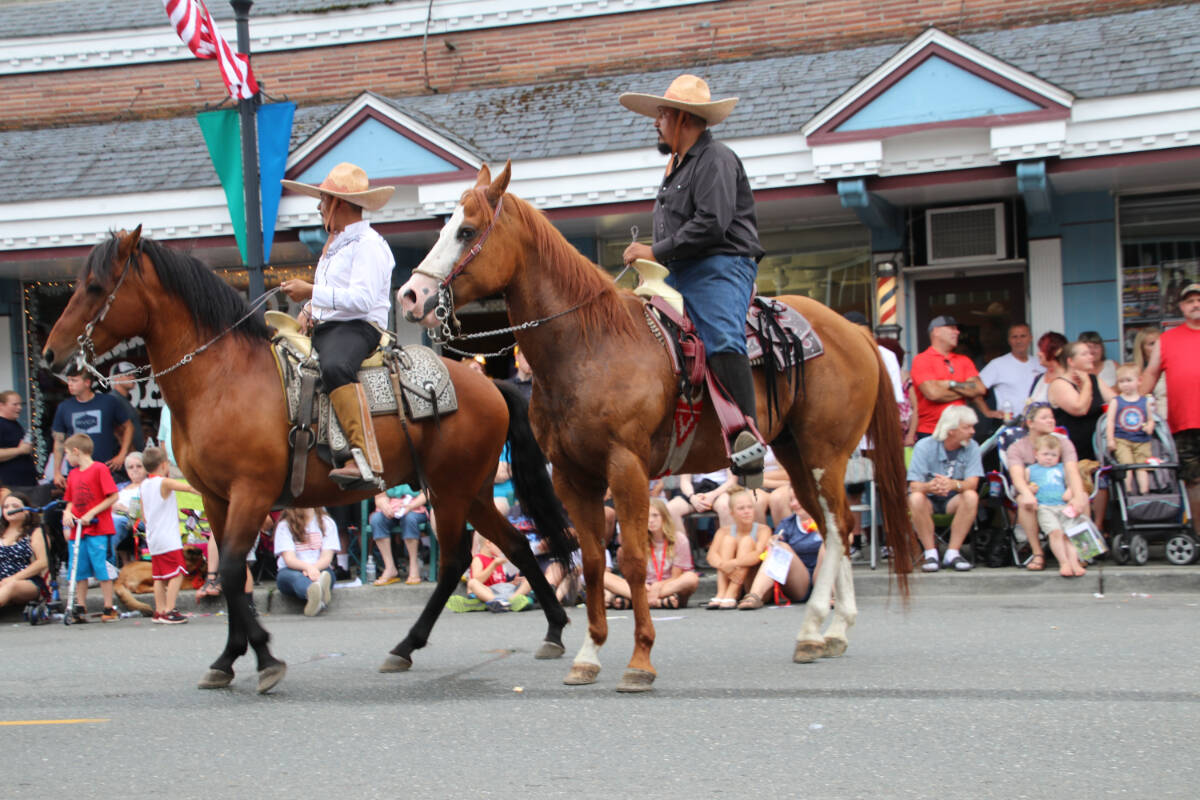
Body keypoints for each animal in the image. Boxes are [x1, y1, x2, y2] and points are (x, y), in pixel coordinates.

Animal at [42, 226, 576, 695]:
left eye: (95, 287)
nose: (50, 355)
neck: (222, 378)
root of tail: (489, 384)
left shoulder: (252, 492)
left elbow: (233, 569)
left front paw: (263, 658)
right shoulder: (217, 498)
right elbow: (233, 575)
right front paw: (228, 658)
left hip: (451, 491)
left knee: (455, 561)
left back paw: (410, 644)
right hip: (471, 493)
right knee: (516, 545)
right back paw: (549, 629)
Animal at [398, 164, 912, 695]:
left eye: (467, 231)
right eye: (444, 227)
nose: (410, 296)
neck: (589, 345)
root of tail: (854, 331)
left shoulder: (626, 466)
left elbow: (634, 560)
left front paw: (640, 659)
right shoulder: (572, 476)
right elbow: (595, 560)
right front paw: (588, 654)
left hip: (825, 453)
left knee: (836, 526)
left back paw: (813, 629)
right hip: (796, 453)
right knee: (838, 527)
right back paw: (834, 631)